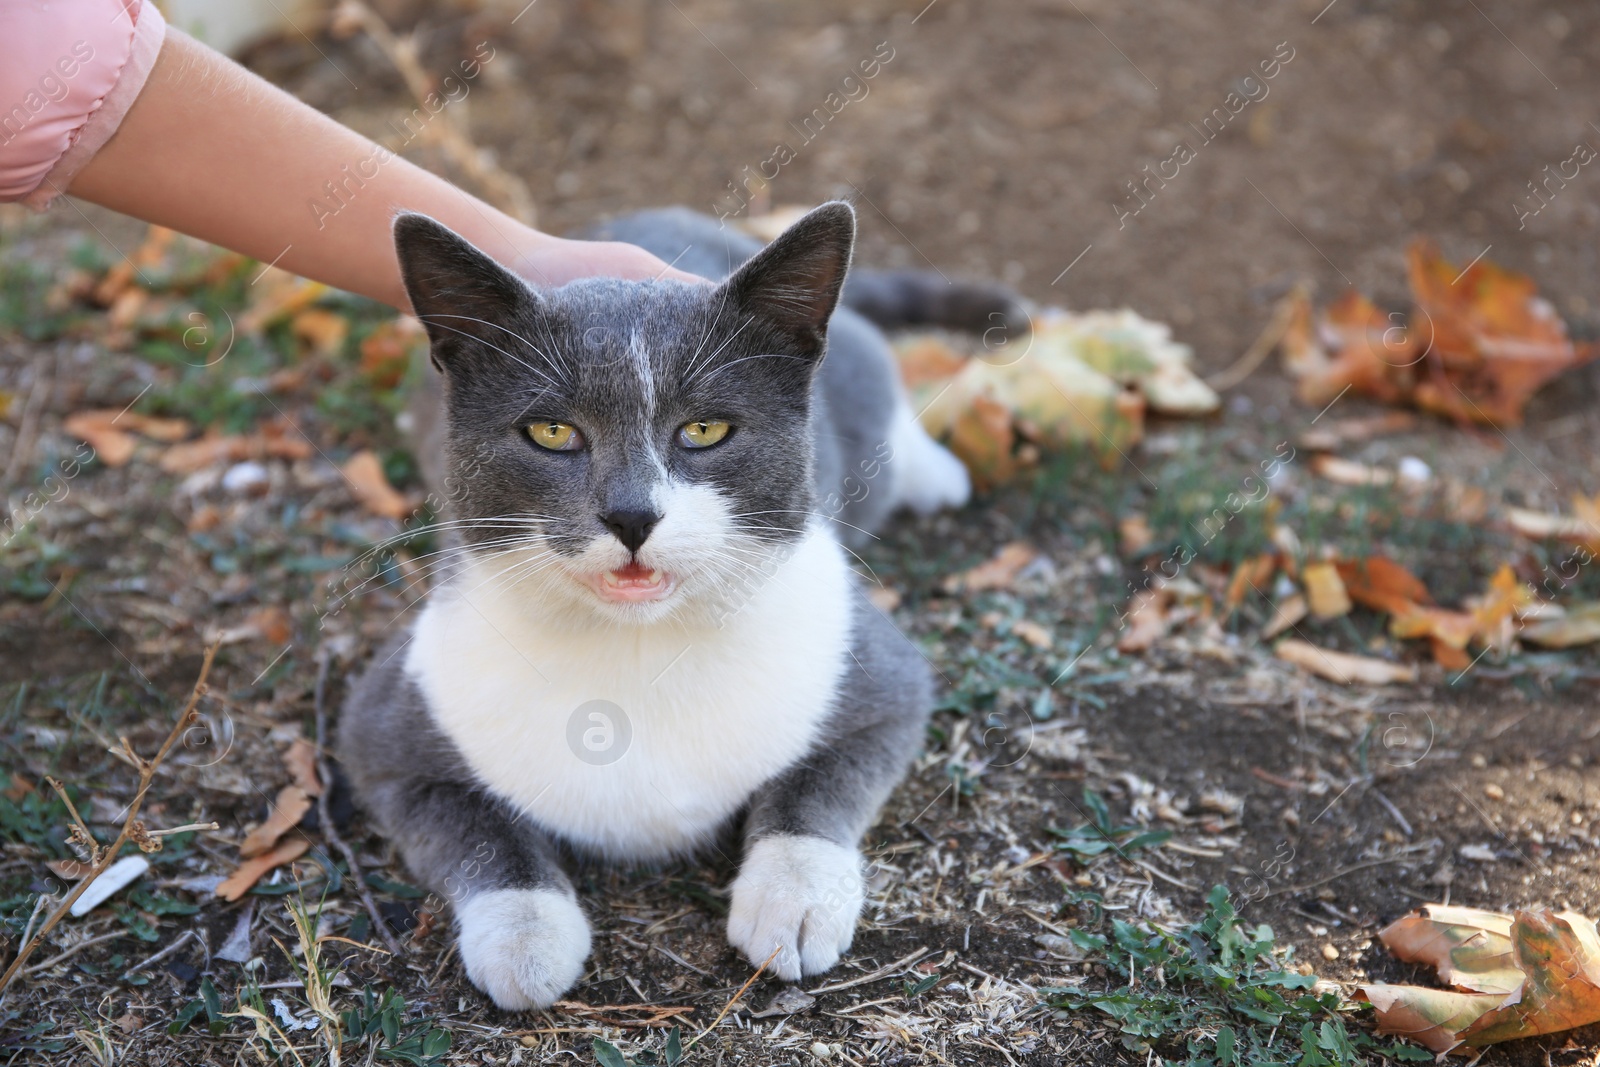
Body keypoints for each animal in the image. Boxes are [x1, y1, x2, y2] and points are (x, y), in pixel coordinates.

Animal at [340, 204, 1024, 1017]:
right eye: (551, 431)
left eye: (704, 430)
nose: (632, 515)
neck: (640, 650)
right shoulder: (389, 729)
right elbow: (472, 826)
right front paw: (525, 937)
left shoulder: (880, 677)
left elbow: (822, 784)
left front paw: (794, 901)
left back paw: (935, 472)